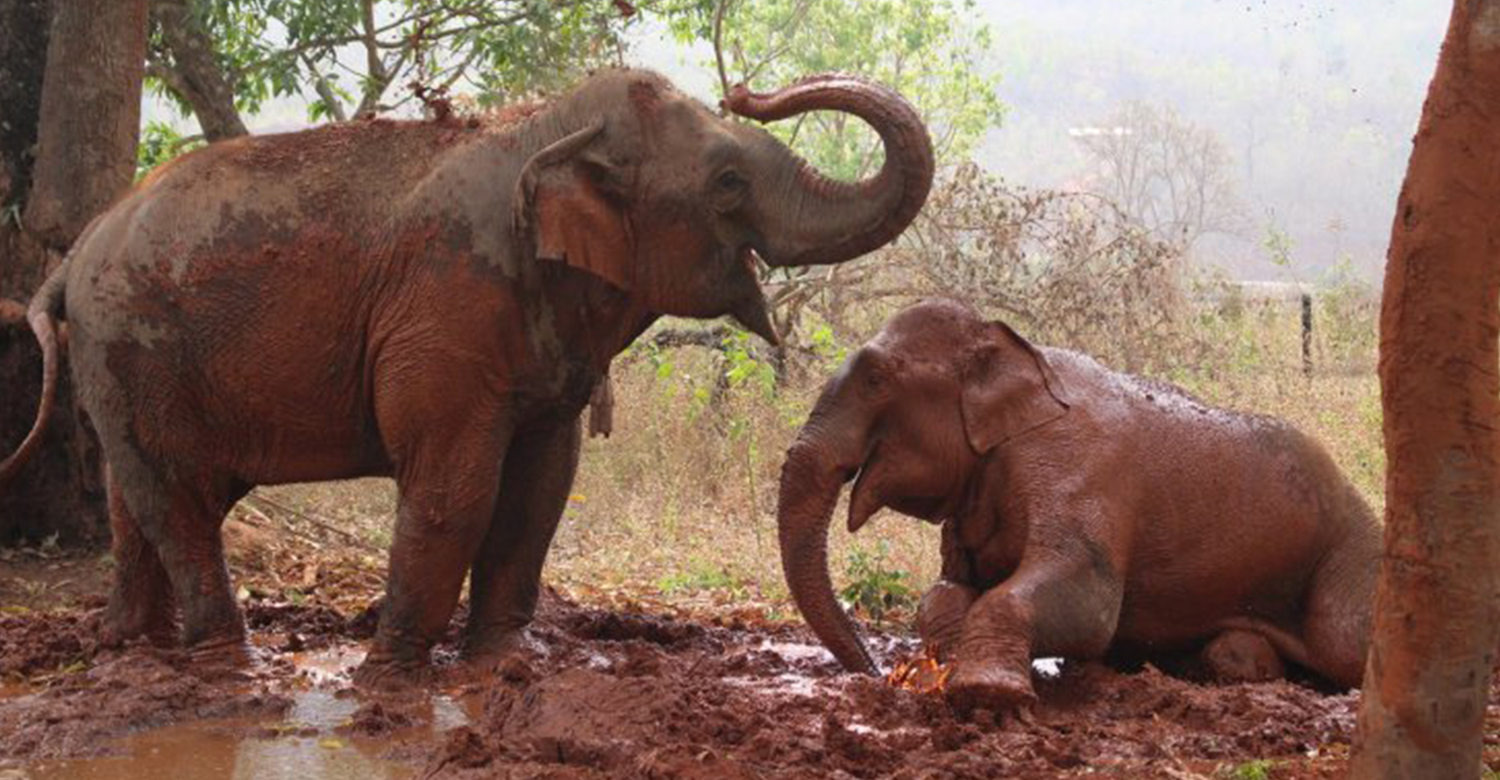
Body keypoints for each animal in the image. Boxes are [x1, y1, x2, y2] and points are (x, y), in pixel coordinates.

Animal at [0, 68, 930, 690]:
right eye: (729, 183)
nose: (746, 89)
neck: (540, 128)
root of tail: (73, 257)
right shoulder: (447, 301)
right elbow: (457, 488)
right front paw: (390, 679)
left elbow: (541, 487)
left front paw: (505, 662)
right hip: (133, 343)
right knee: (178, 495)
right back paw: (229, 662)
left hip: (125, 361)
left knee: (136, 494)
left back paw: (133, 648)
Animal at [780, 300, 1374, 714]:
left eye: (876, 378)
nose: (875, 672)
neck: (1018, 350)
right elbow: (948, 590)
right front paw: (949, 659)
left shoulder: (1083, 473)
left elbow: (1089, 602)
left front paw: (986, 694)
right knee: (1231, 652)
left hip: (1347, 552)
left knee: (1343, 641)